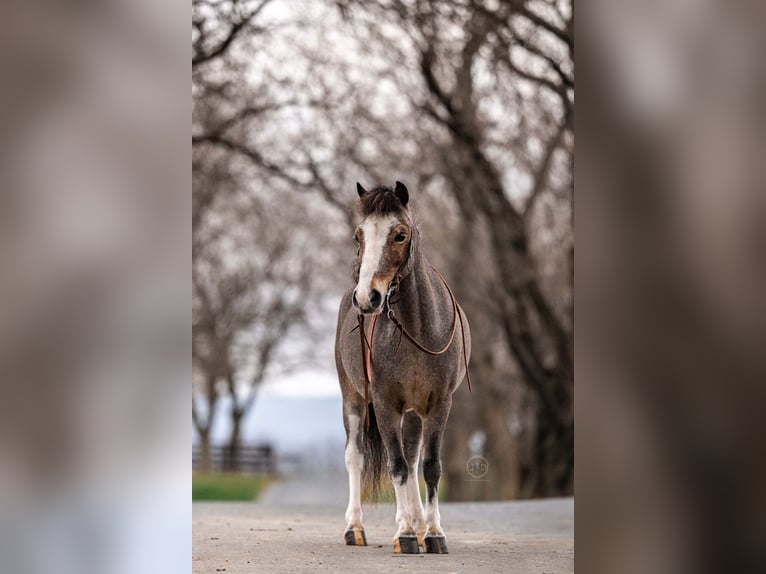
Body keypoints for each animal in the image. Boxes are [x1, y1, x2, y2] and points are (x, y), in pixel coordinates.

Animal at [336, 182, 474, 556]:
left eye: (400, 235)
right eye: (358, 235)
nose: (366, 298)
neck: (418, 327)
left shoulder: (439, 404)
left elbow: (429, 467)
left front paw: (433, 533)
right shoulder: (384, 404)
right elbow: (394, 466)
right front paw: (407, 535)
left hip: (413, 412)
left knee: (412, 461)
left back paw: (416, 523)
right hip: (354, 400)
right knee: (357, 457)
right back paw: (357, 529)